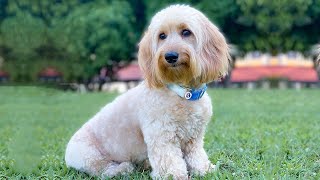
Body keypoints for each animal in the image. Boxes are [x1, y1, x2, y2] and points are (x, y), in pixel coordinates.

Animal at [65, 4, 230, 179]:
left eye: (186, 32)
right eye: (162, 36)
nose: (170, 56)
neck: (182, 92)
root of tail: (67, 152)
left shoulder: (194, 137)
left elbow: (196, 156)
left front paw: (204, 169)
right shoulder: (162, 135)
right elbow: (169, 160)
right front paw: (174, 175)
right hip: (90, 156)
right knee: (104, 170)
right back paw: (124, 168)